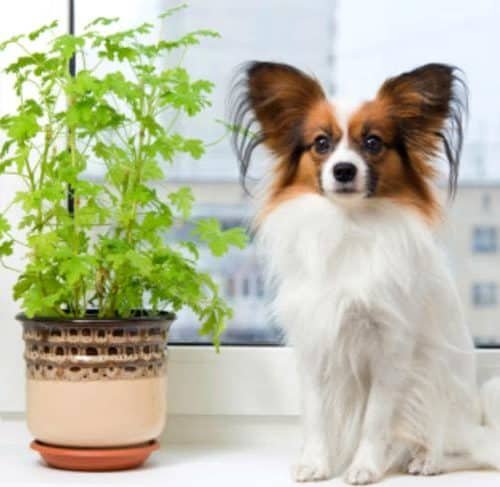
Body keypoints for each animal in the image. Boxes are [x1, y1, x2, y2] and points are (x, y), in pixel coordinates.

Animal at [229, 62, 500, 484]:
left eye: (373, 143)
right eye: (321, 144)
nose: (343, 170)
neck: (349, 225)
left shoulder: (391, 348)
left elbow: (375, 419)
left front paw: (364, 467)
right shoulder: (315, 343)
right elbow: (316, 415)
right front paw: (316, 463)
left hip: (438, 388)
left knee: (466, 448)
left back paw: (428, 459)